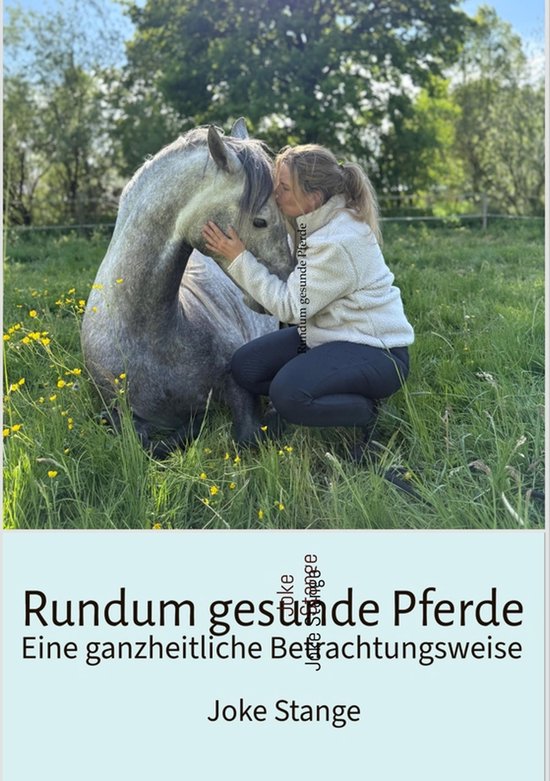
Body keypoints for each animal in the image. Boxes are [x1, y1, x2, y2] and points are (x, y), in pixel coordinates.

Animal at [81, 119, 294, 456]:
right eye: (260, 221)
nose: (287, 282)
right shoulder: (119, 411)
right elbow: (140, 440)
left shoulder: (237, 384)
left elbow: (246, 436)